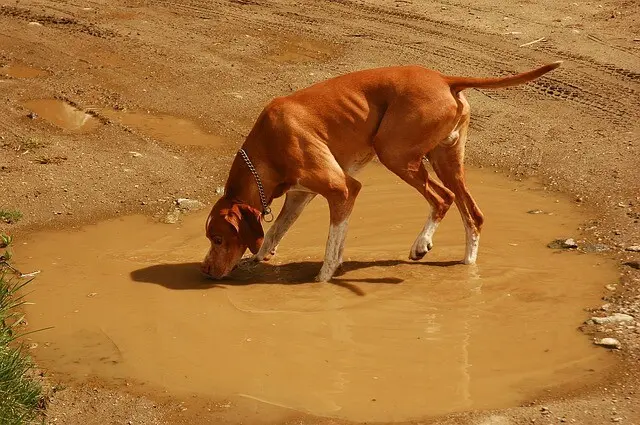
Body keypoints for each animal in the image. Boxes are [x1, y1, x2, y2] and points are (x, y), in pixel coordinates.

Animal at [202, 61, 564, 280]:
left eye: (218, 238)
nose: (205, 270)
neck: (268, 144)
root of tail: (444, 79)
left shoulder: (343, 189)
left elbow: (332, 245)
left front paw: (322, 280)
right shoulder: (300, 196)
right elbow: (276, 230)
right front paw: (258, 257)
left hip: (395, 153)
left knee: (442, 199)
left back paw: (421, 244)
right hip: (446, 162)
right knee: (472, 214)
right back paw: (467, 267)